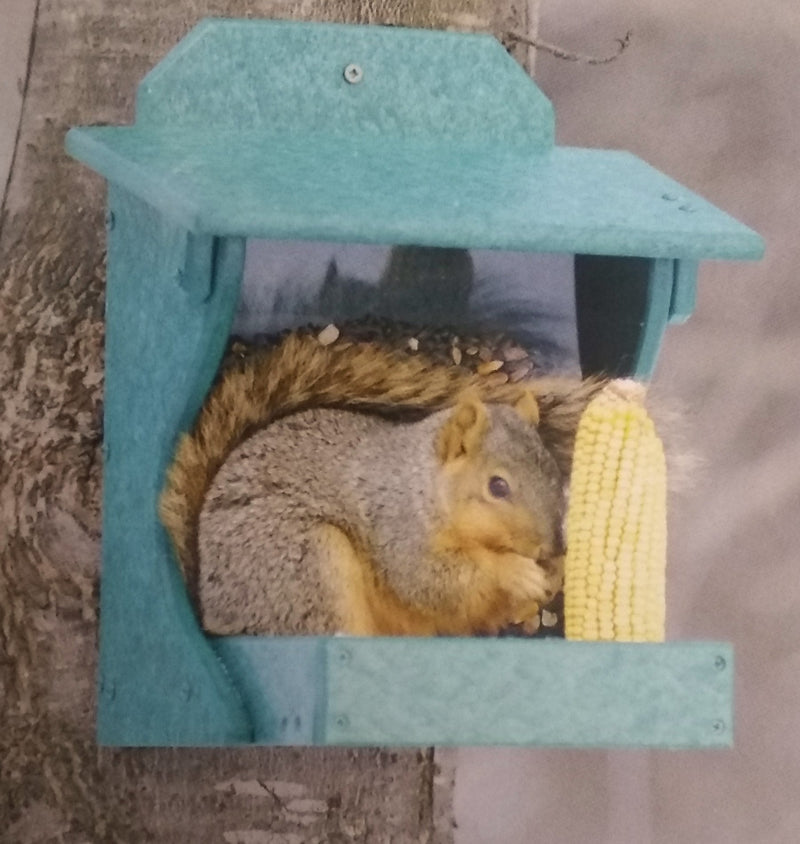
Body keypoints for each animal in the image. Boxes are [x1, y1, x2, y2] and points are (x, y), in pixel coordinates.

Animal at [159, 332, 606, 636]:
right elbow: (432, 580)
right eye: (497, 486)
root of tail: (211, 611)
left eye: (552, 468)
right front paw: (515, 571)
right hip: (306, 567)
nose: (554, 546)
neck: (422, 486)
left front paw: (556, 573)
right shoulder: (397, 529)